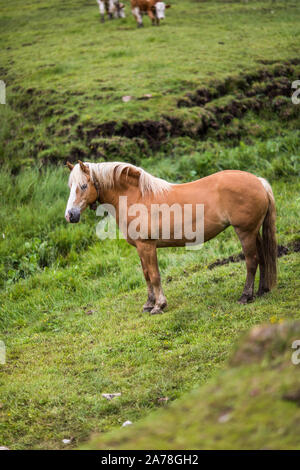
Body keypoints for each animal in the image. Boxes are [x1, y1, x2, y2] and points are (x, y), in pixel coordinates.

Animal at [65, 161, 276, 312]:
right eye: (70, 186)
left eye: (83, 186)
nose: (70, 215)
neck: (137, 198)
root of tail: (258, 181)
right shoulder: (140, 248)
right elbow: (146, 275)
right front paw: (149, 304)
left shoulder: (147, 246)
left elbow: (154, 275)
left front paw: (159, 305)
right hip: (254, 232)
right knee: (262, 257)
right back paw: (261, 291)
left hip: (245, 232)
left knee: (251, 261)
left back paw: (245, 296)